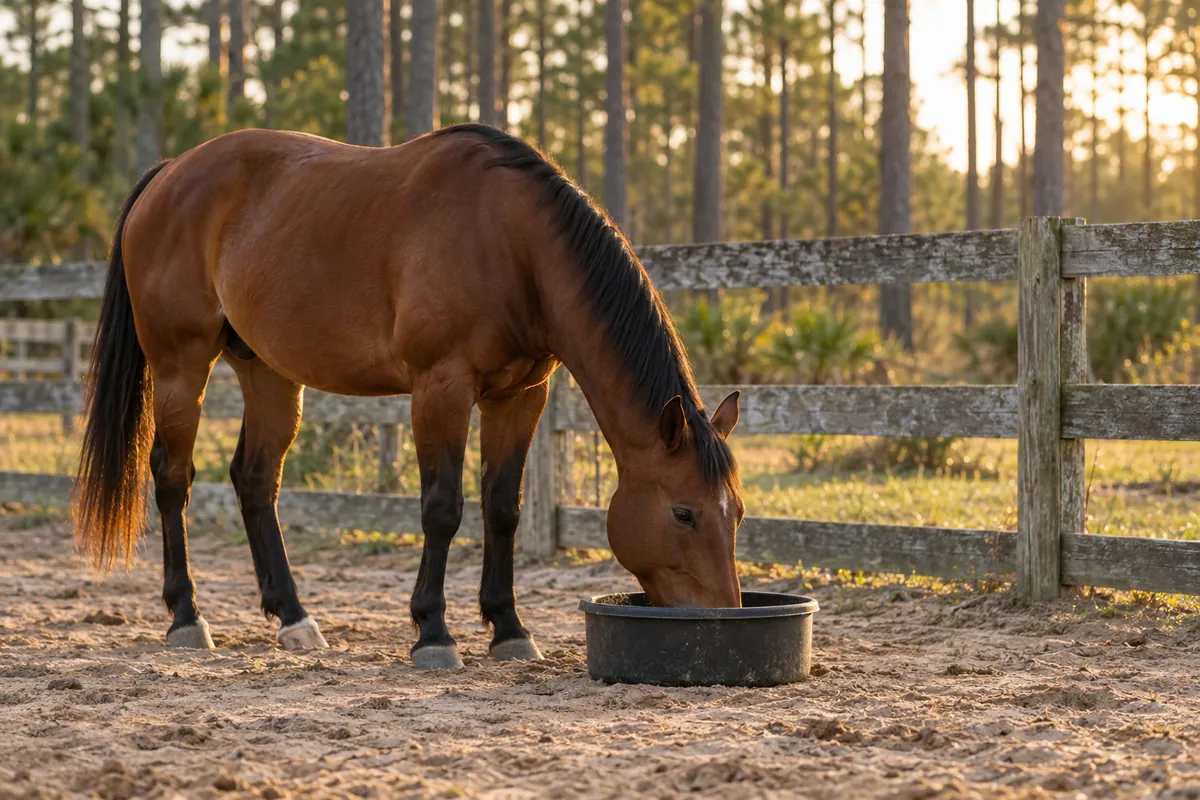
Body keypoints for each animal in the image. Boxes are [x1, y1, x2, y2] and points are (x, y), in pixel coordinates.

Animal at [72, 123, 745, 669]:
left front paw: (509, 629)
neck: (510, 241)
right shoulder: (441, 387)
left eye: (736, 512)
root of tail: (169, 173)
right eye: (683, 513)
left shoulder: (521, 394)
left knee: (255, 480)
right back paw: (187, 618)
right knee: (171, 477)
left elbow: (502, 507)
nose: (723, 613)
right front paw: (434, 633)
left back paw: (294, 618)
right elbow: (442, 508)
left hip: (267, 372)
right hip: (180, 367)